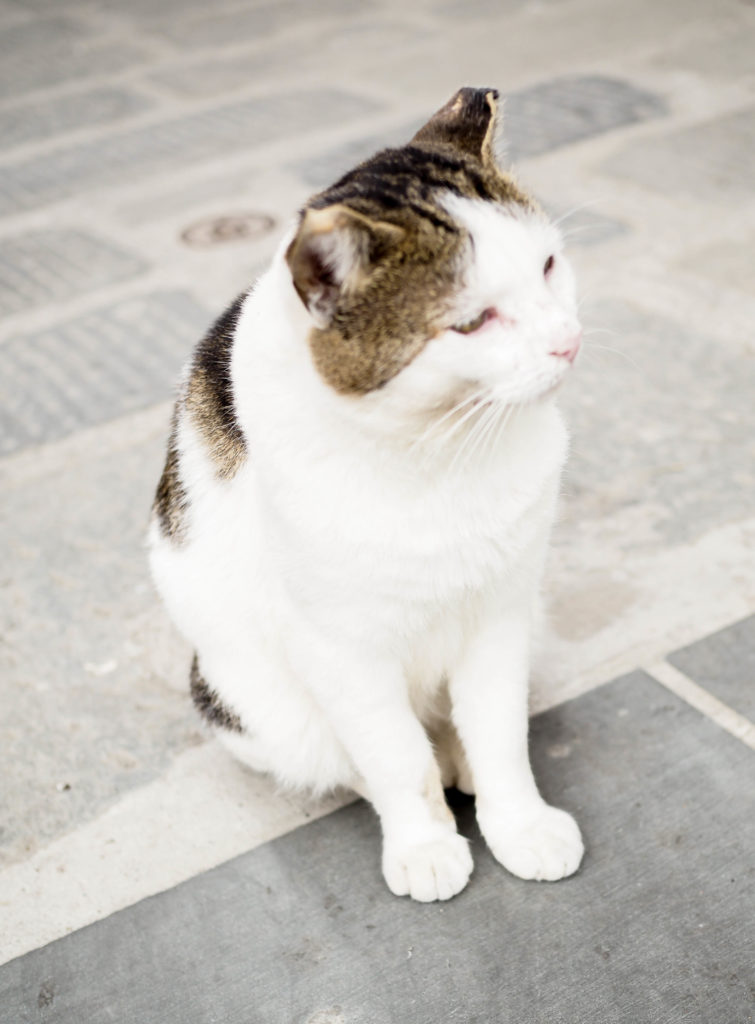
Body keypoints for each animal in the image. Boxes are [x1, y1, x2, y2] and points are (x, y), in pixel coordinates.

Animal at [147, 90, 581, 905]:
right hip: (245, 698)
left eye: (547, 265)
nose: (566, 343)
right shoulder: (338, 647)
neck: (442, 447)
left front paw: (519, 822)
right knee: (349, 753)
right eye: (473, 322)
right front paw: (424, 844)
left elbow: (499, 732)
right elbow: (394, 759)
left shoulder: (501, 610)